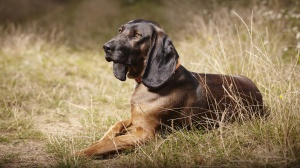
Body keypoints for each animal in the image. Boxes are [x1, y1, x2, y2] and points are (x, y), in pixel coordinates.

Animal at [75, 19, 262, 158]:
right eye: (120, 31)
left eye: (137, 35)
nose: (106, 47)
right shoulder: (135, 120)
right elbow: (115, 126)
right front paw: (98, 140)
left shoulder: (145, 133)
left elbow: (109, 143)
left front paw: (78, 153)